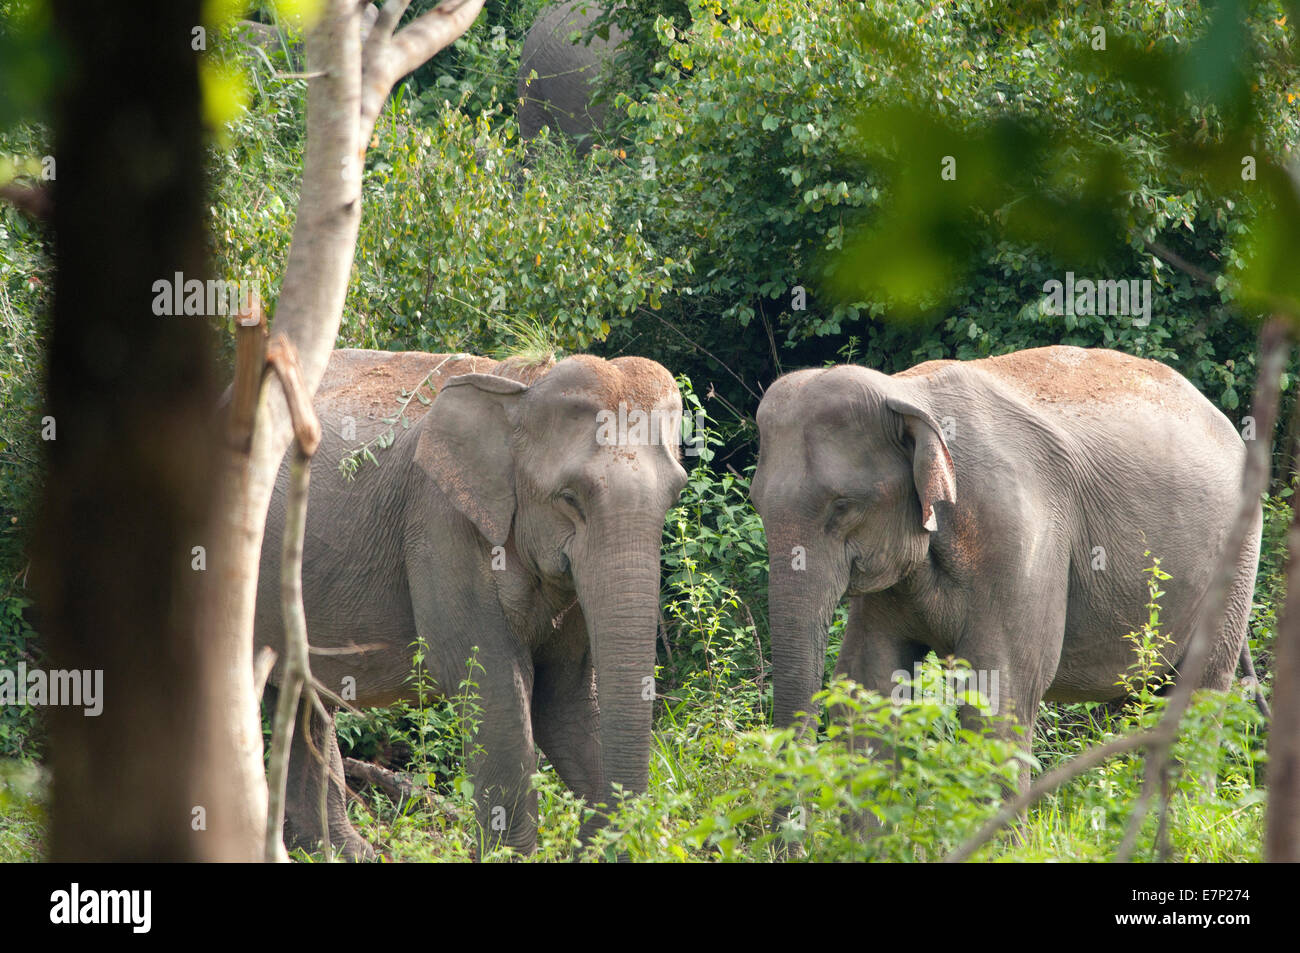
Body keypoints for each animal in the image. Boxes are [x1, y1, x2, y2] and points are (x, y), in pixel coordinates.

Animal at [246, 348, 686, 852]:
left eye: (675, 494)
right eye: (569, 498)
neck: (520, 388)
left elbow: (566, 695)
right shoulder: (439, 523)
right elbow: (490, 685)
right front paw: (510, 855)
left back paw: (338, 850)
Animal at [748, 348, 1263, 774]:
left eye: (843, 506)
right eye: (756, 503)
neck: (907, 392)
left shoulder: (1020, 534)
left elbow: (1002, 689)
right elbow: (868, 680)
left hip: (1237, 559)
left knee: (1199, 690)